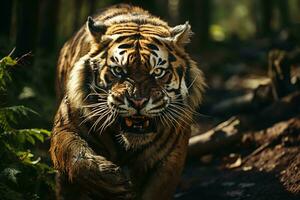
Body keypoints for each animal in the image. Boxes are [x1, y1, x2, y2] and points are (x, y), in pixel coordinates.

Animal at [49, 3, 204, 200]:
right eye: (118, 71)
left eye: (158, 72)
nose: (138, 102)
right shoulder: (66, 127)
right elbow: (78, 159)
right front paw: (109, 179)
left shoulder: (170, 158)